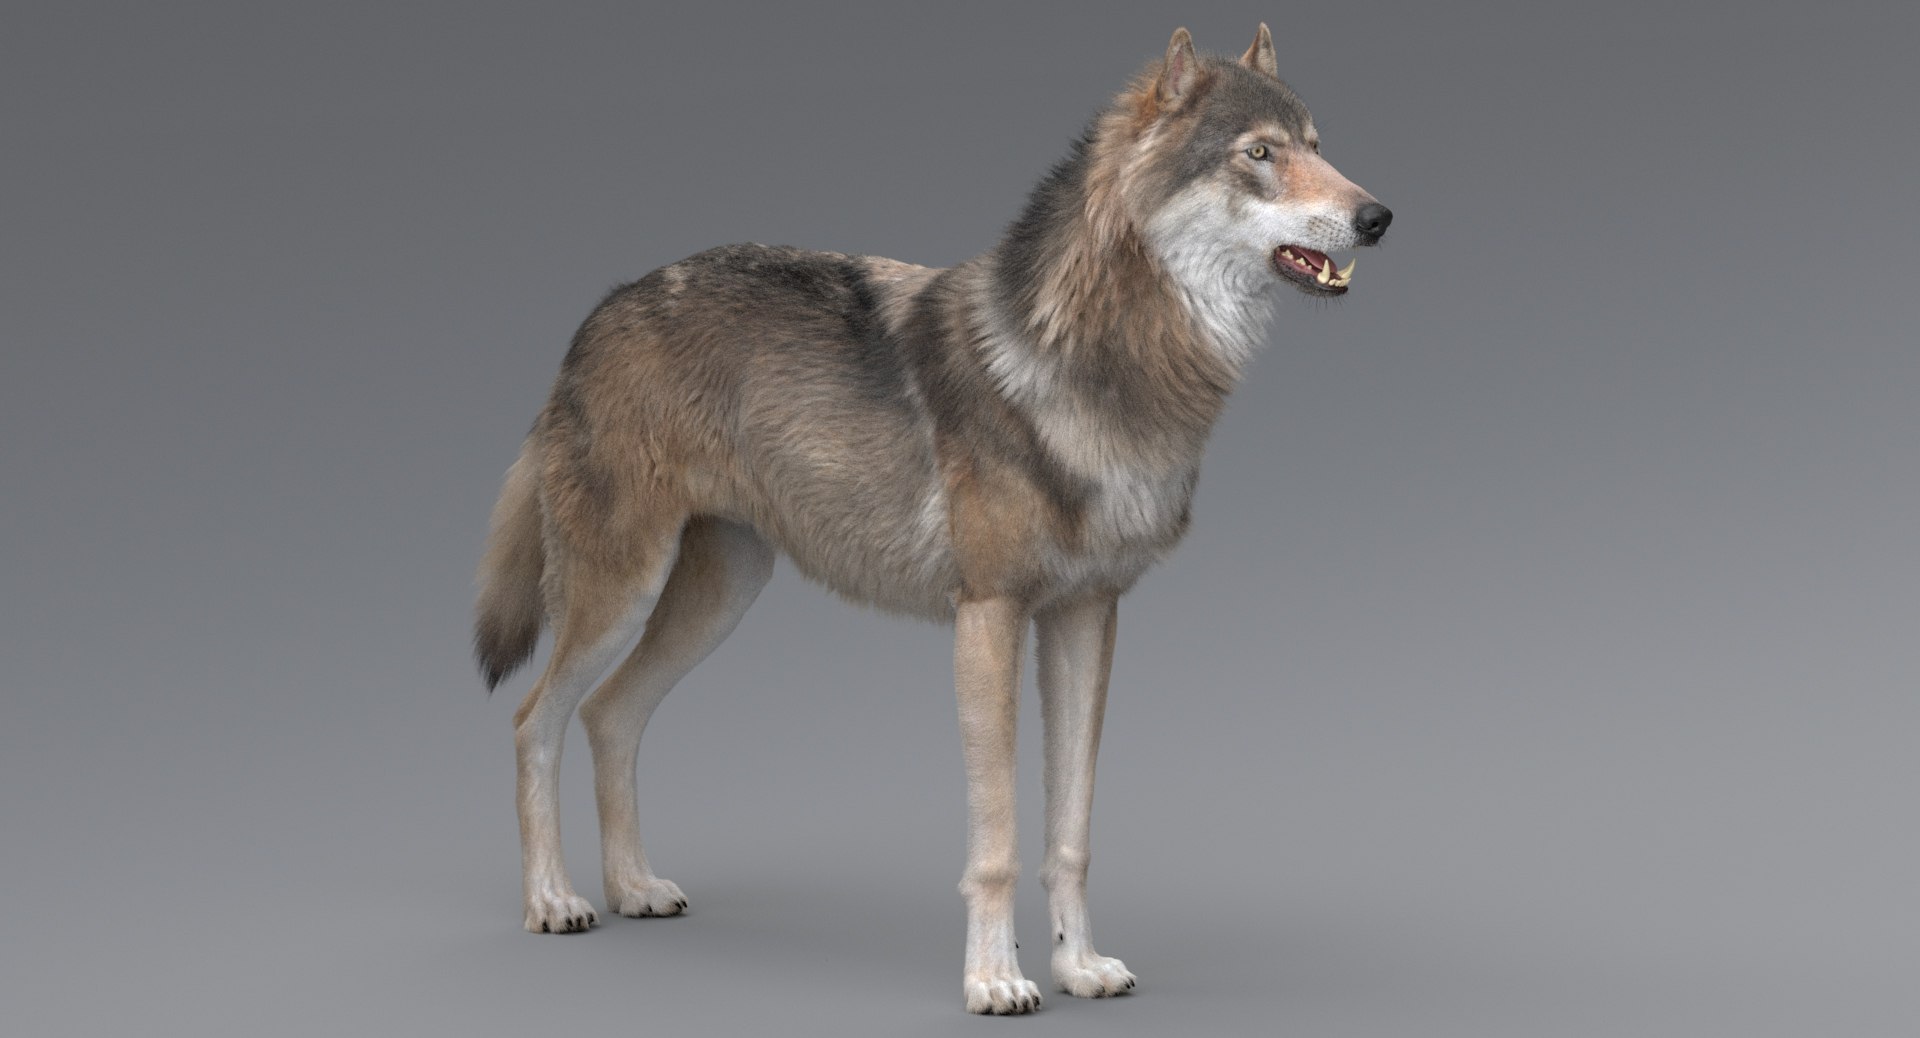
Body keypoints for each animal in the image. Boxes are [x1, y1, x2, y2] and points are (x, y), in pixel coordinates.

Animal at [473, 25, 1390, 1014]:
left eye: (1318, 145)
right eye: (1259, 154)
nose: (1379, 216)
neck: (1107, 366)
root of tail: (595, 318)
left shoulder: (1088, 616)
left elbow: (1071, 832)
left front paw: (1078, 967)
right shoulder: (987, 619)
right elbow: (996, 842)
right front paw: (995, 979)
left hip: (716, 601)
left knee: (610, 717)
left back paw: (635, 887)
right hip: (624, 595)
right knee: (533, 720)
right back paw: (555, 901)